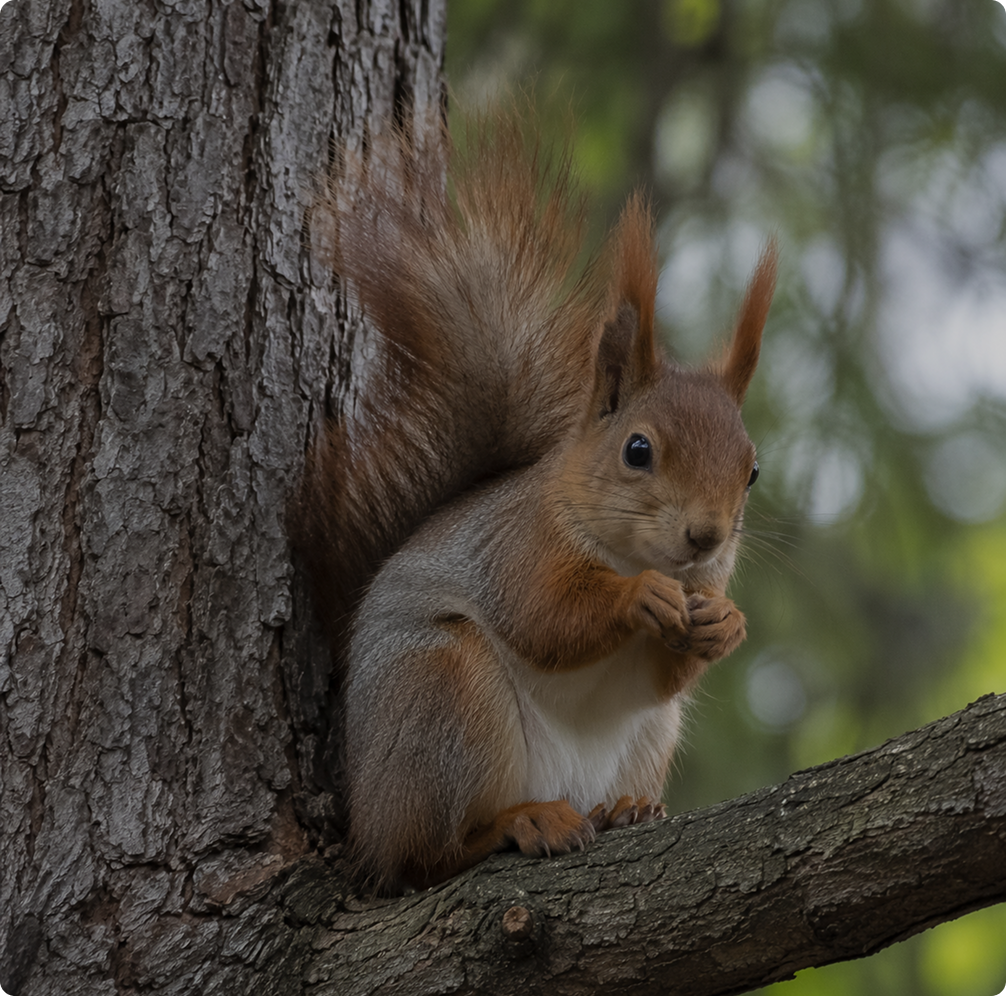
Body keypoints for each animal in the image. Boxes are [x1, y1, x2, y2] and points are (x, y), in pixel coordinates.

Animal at [301, 105, 777, 892]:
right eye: (637, 450)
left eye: (753, 471)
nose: (707, 536)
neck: (626, 548)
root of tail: (363, 809)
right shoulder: (516, 542)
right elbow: (544, 617)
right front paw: (639, 597)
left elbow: (662, 675)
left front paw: (726, 623)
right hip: (443, 695)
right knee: (423, 856)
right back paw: (518, 822)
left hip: (649, 736)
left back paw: (624, 810)